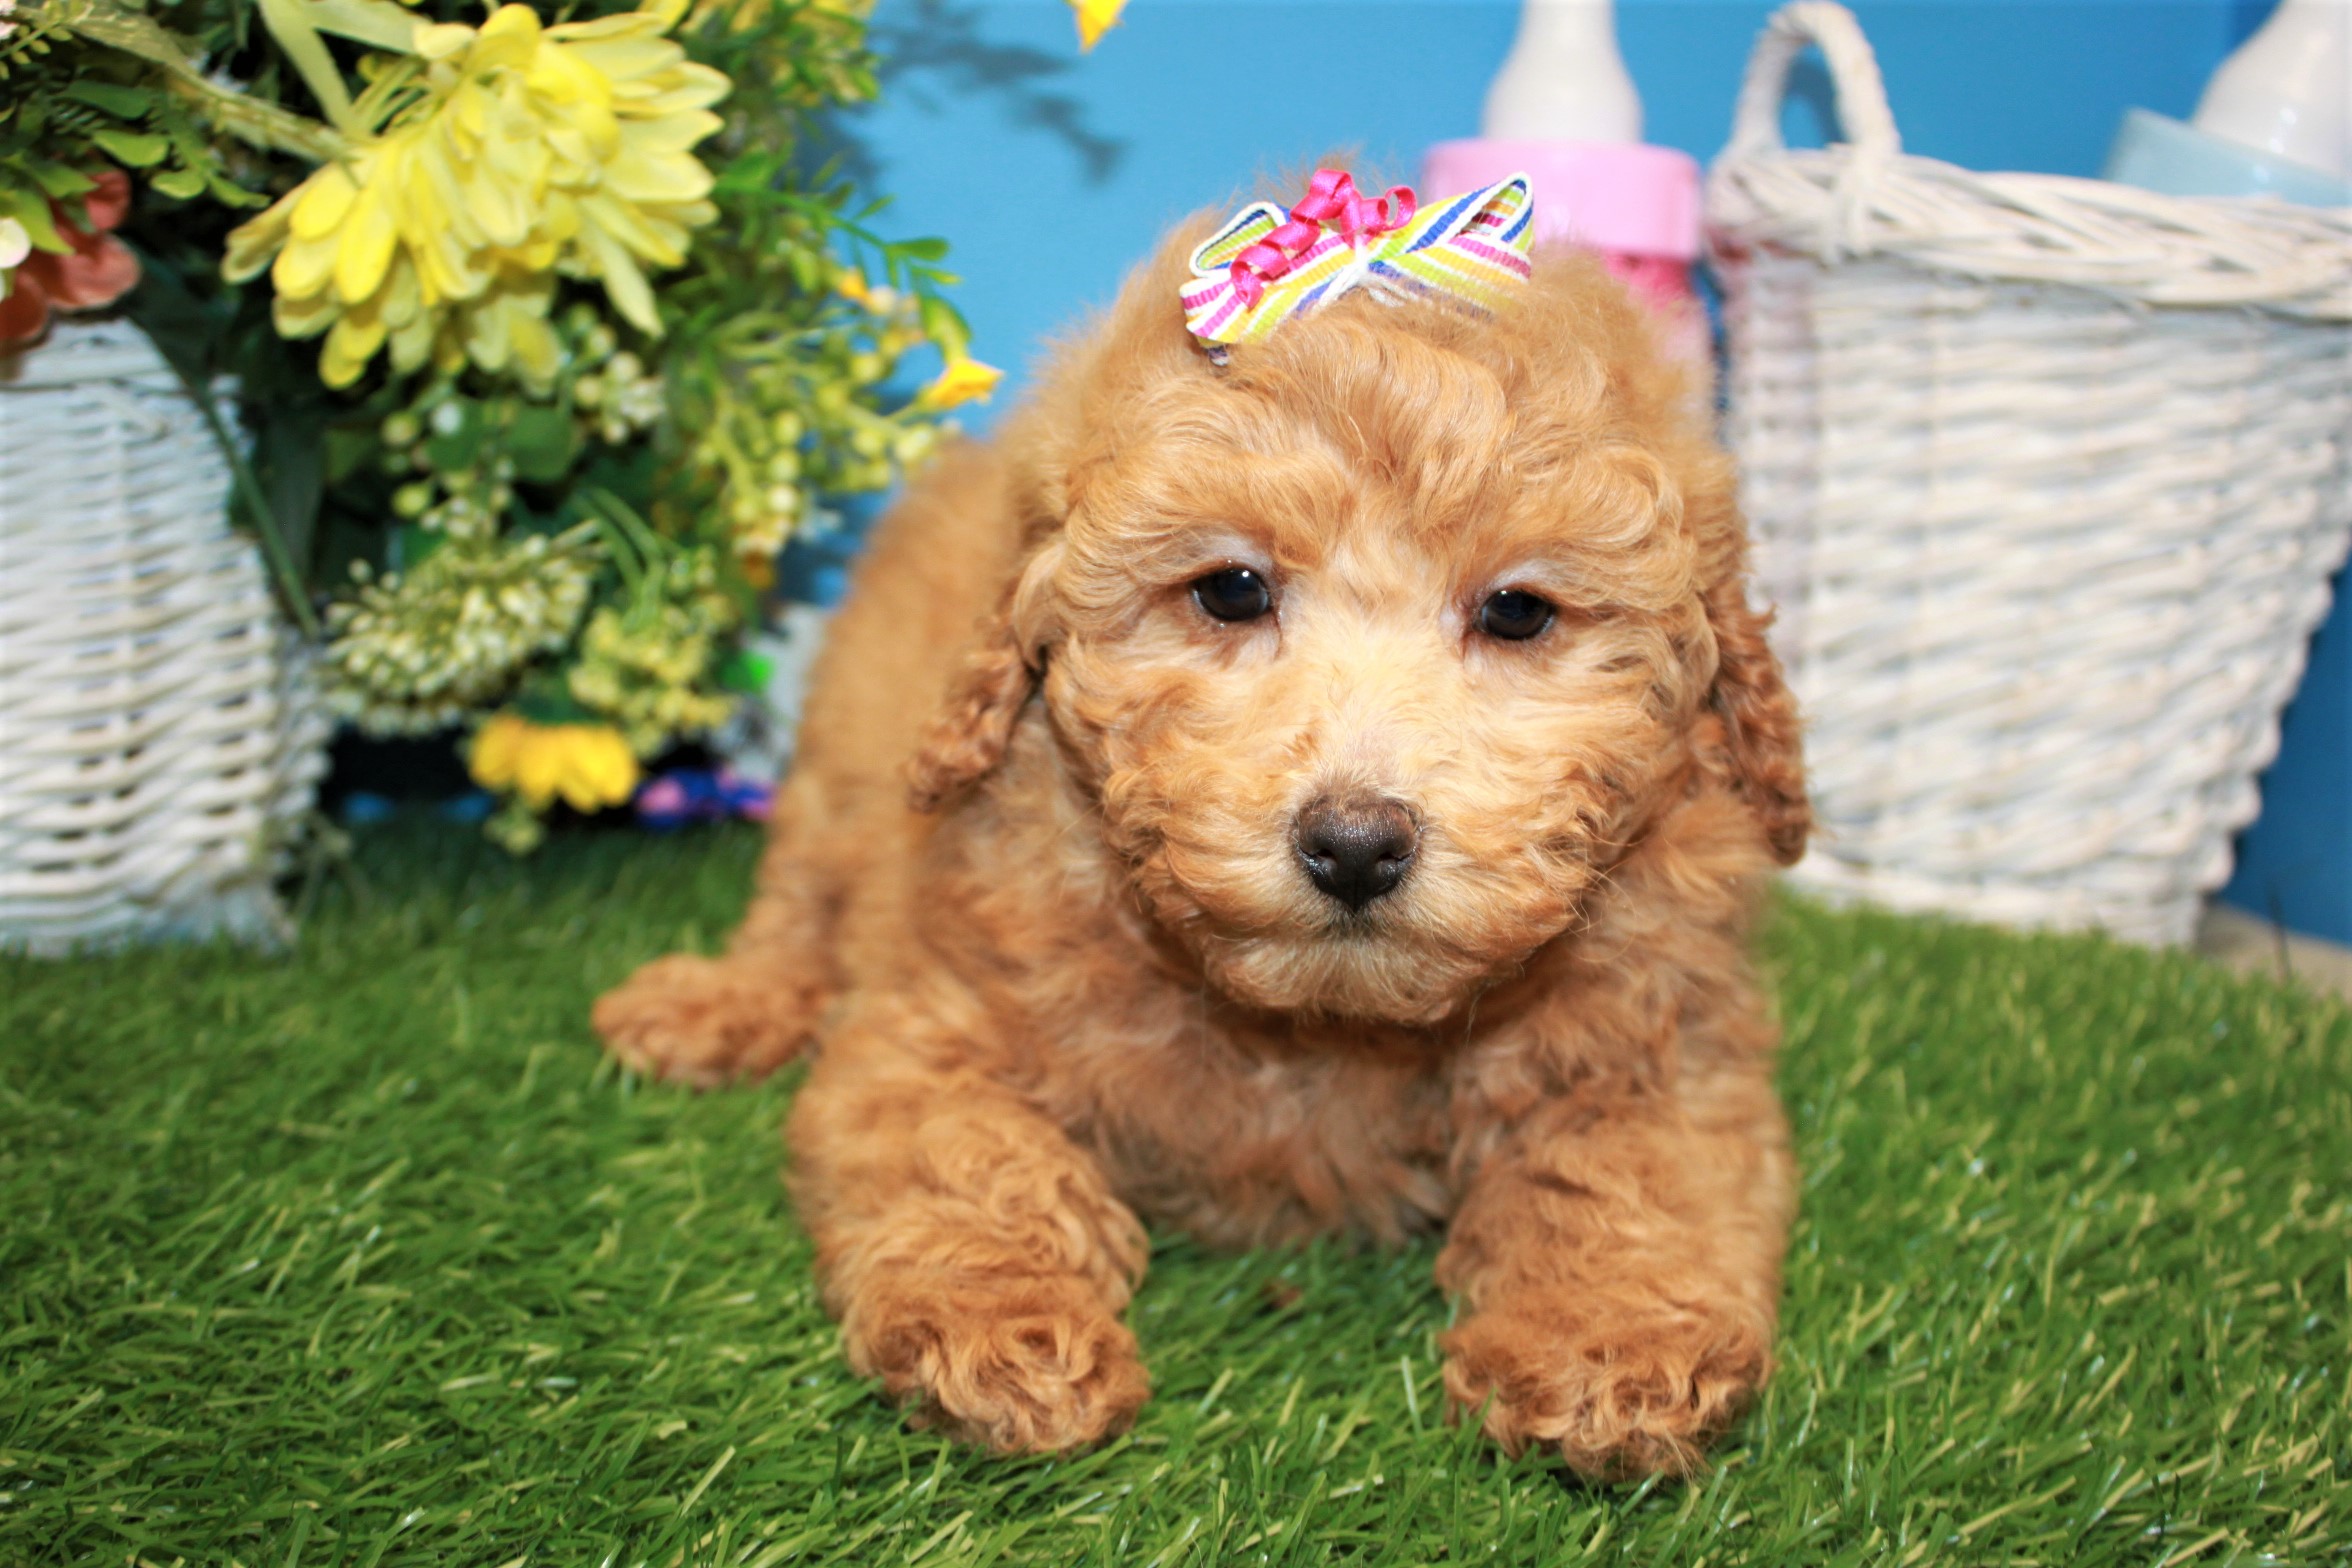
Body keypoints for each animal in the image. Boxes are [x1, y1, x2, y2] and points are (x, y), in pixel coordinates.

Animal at [597, 220, 1806, 1485]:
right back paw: (713, 1006)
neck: (1317, 1023)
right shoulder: (929, 1024)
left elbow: (1633, 1175)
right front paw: (1006, 1328)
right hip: (837, 768)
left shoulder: (1668, 1049)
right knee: (796, 903)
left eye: (1519, 611)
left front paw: (1609, 1342)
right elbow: (965, 1153)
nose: (1355, 844)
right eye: (1231, 588)